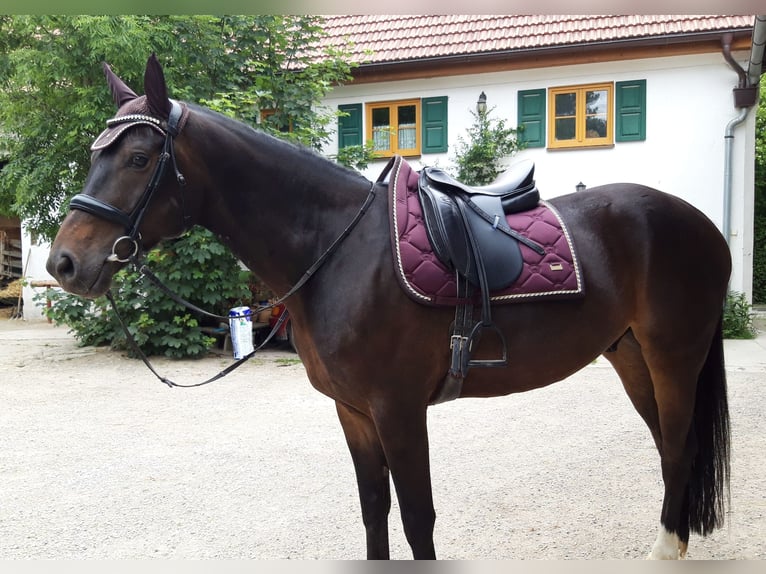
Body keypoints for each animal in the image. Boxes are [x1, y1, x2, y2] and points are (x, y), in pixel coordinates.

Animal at [46, 55, 732, 560]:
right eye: (95, 156)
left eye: (138, 158)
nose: (64, 264)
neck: (339, 248)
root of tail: (701, 223)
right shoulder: (354, 411)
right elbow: (374, 509)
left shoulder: (398, 409)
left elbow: (417, 518)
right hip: (631, 357)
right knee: (670, 450)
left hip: (674, 357)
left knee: (679, 448)